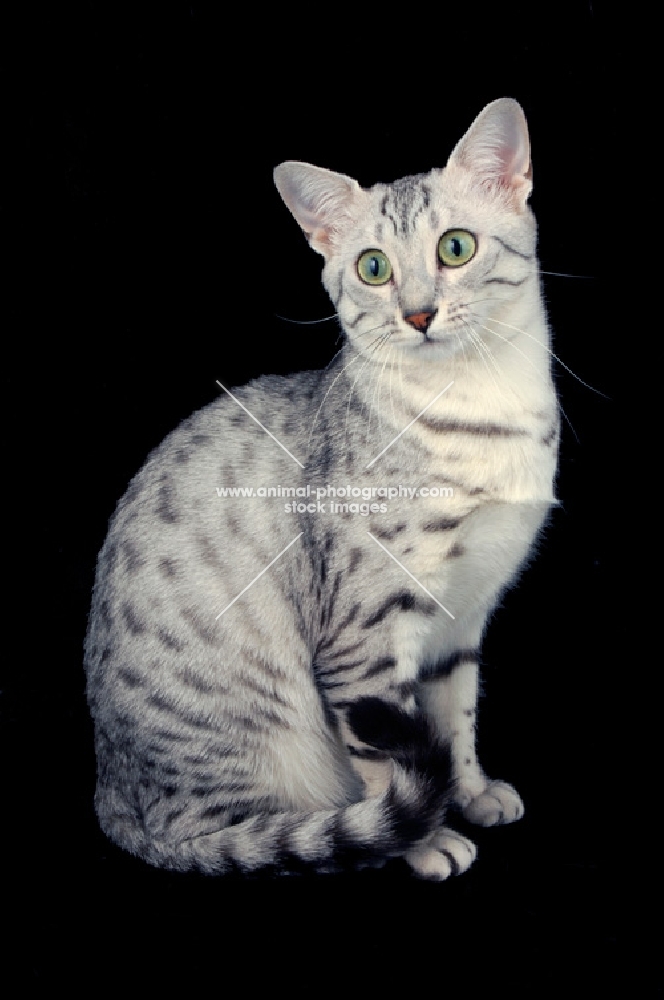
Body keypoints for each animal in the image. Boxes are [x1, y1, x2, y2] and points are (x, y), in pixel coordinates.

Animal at [84, 97, 560, 880]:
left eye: (456, 248)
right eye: (373, 268)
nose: (418, 314)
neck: (482, 410)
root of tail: (113, 797)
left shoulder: (463, 617)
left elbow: (455, 720)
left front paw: (472, 791)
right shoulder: (362, 644)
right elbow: (386, 760)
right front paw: (423, 839)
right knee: (235, 833)